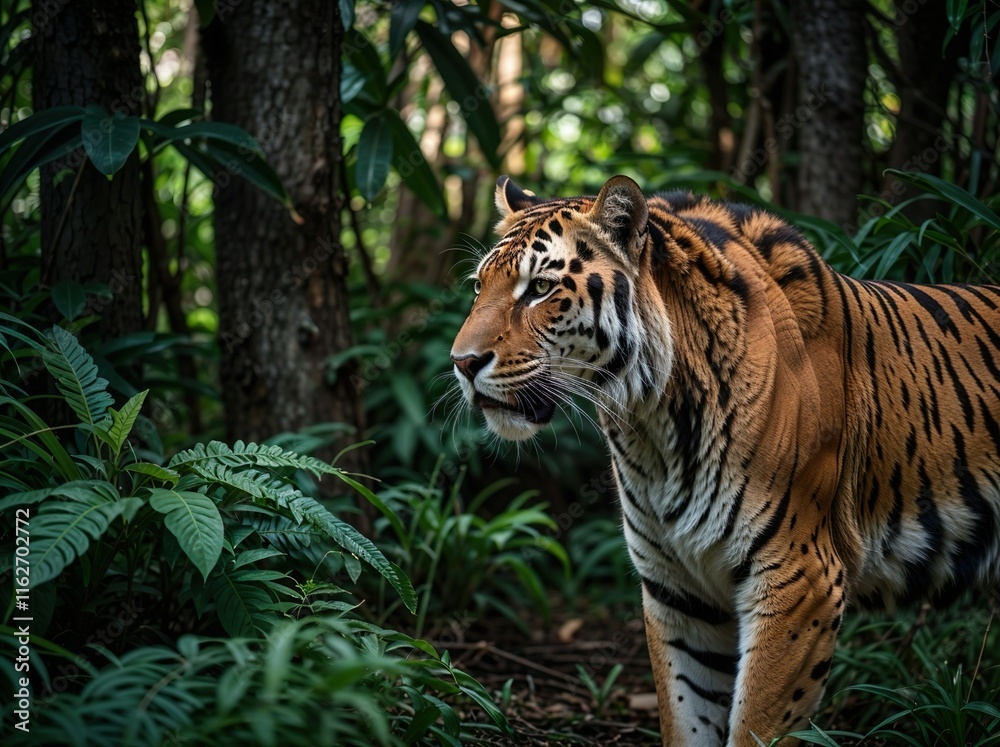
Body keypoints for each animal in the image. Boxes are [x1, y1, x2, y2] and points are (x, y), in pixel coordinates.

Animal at [449, 174, 1000, 746]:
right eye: (478, 287)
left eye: (540, 288)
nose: (462, 363)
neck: (654, 426)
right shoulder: (676, 588)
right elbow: (686, 716)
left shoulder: (801, 580)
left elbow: (757, 723)